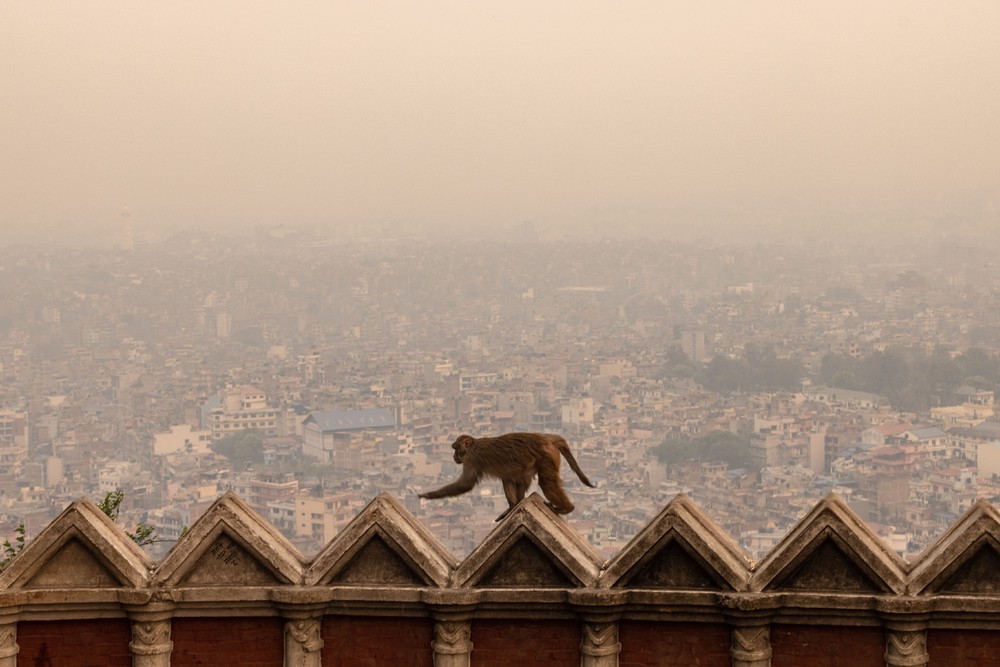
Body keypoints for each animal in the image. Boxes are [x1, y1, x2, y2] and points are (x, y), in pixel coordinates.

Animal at [420, 434, 596, 520]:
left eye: (456, 449)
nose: (454, 457)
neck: (473, 446)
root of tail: (548, 438)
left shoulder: (472, 459)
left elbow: (466, 484)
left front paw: (429, 495)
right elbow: (513, 479)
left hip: (547, 456)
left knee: (546, 482)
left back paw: (567, 508)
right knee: (511, 479)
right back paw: (513, 507)